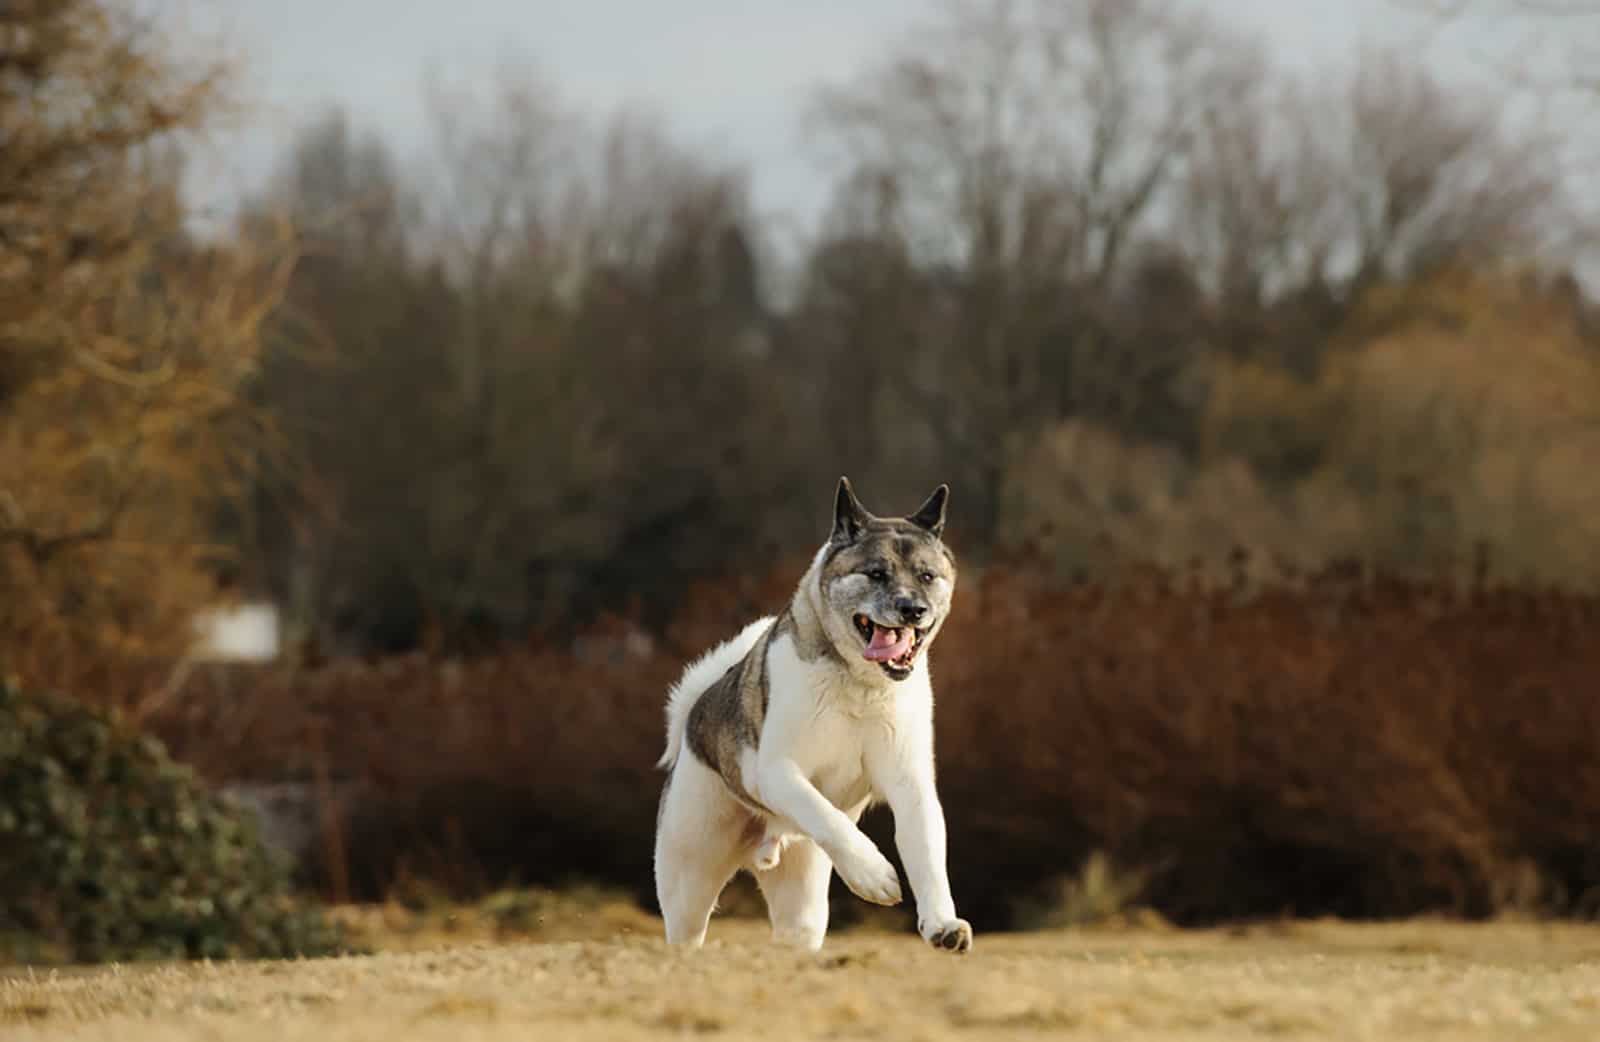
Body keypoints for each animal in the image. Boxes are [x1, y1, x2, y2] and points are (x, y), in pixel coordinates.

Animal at [652, 480, 972, 953]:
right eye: (876, 573)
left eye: (927, 576)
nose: (913, 608)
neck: (860, 684)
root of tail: (693, 717)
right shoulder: (777, 773)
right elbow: (823, 811)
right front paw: (873, 874)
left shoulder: (911, 785)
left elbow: (928, 856)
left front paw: (942, 924)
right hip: (690, 874)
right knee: (686, 928)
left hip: (801, 902)